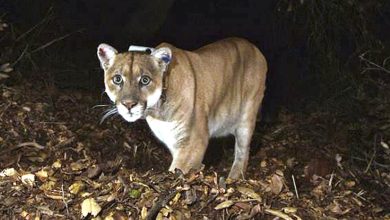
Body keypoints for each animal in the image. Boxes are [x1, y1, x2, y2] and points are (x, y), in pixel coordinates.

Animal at [97, 37, 268, 179]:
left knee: (243, 152)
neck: (157, 112)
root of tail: (254, 47)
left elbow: (177, 169)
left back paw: (233, 177)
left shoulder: (194, 141)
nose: (129, 104)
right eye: (117, 79)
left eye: (145, 80)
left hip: (247, 116)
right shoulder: (174, 141)